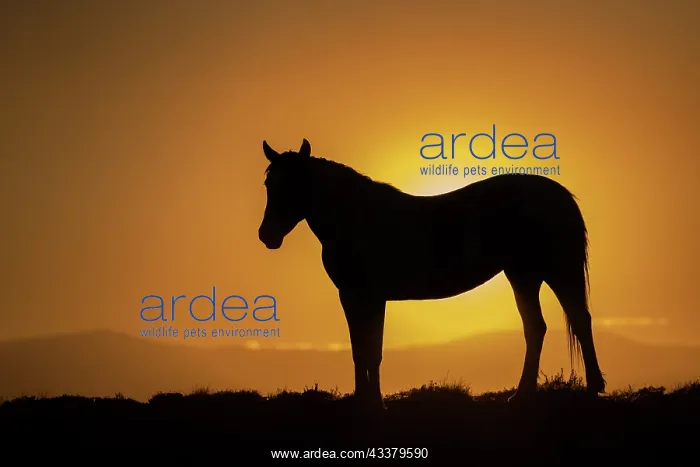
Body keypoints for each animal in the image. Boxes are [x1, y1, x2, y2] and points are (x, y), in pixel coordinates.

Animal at [257, 138, 606, 409]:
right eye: (269, 185)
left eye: (295, 184)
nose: (267, 236)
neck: (357, 218)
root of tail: (559, 194)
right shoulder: (352, 296)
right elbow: (360, 350)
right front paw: (364, 401)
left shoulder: (371, 297)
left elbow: (372, 350)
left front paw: (375, 405)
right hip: (523, 275)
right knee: (537, 327)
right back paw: (522, 396)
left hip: (558, 270)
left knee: (579, 319)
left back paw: (592, 389)